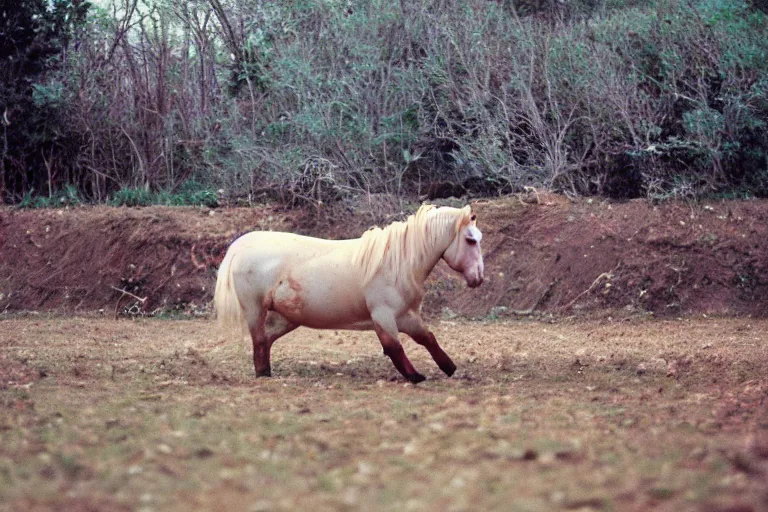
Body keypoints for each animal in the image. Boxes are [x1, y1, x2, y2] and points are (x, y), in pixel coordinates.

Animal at [213, 202, 484, 382]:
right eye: (470, 240)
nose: (478, 278)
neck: (398, 261)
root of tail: (241, 246)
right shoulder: (383, 315)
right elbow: (394, 347)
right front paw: (415, 376)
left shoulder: (406, 315)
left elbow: (427, 337)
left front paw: (449, 367)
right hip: (255, 310)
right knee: (259, 340)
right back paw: (263, 375)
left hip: (287, 318)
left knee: (266, 340)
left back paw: (266, 372)